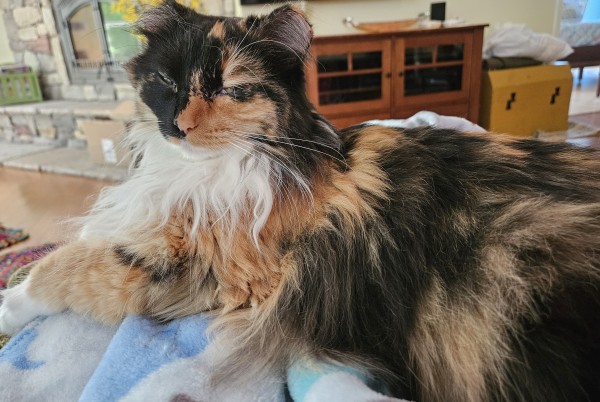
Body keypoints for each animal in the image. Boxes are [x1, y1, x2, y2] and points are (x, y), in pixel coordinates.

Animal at [1, 2, 600, 398]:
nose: (177, 125)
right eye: (167, 82)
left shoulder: (214, 265)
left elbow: (69, 266)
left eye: (231, 90)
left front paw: (11, 300)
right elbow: (84, 241)